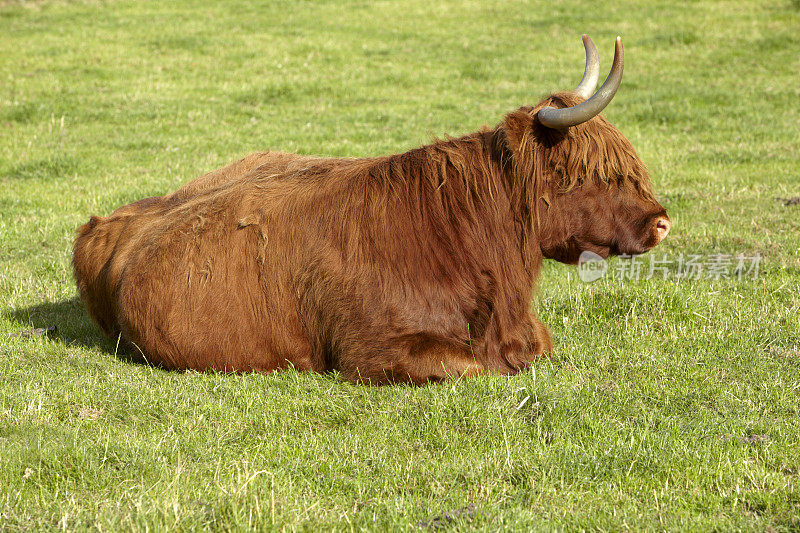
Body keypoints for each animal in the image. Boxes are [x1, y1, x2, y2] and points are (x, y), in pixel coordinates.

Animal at [72, 35, 668, 382]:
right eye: (590, 173)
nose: (660, 221)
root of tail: (109, 223)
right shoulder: (370, 350)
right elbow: (473, 366)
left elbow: (540, 348)